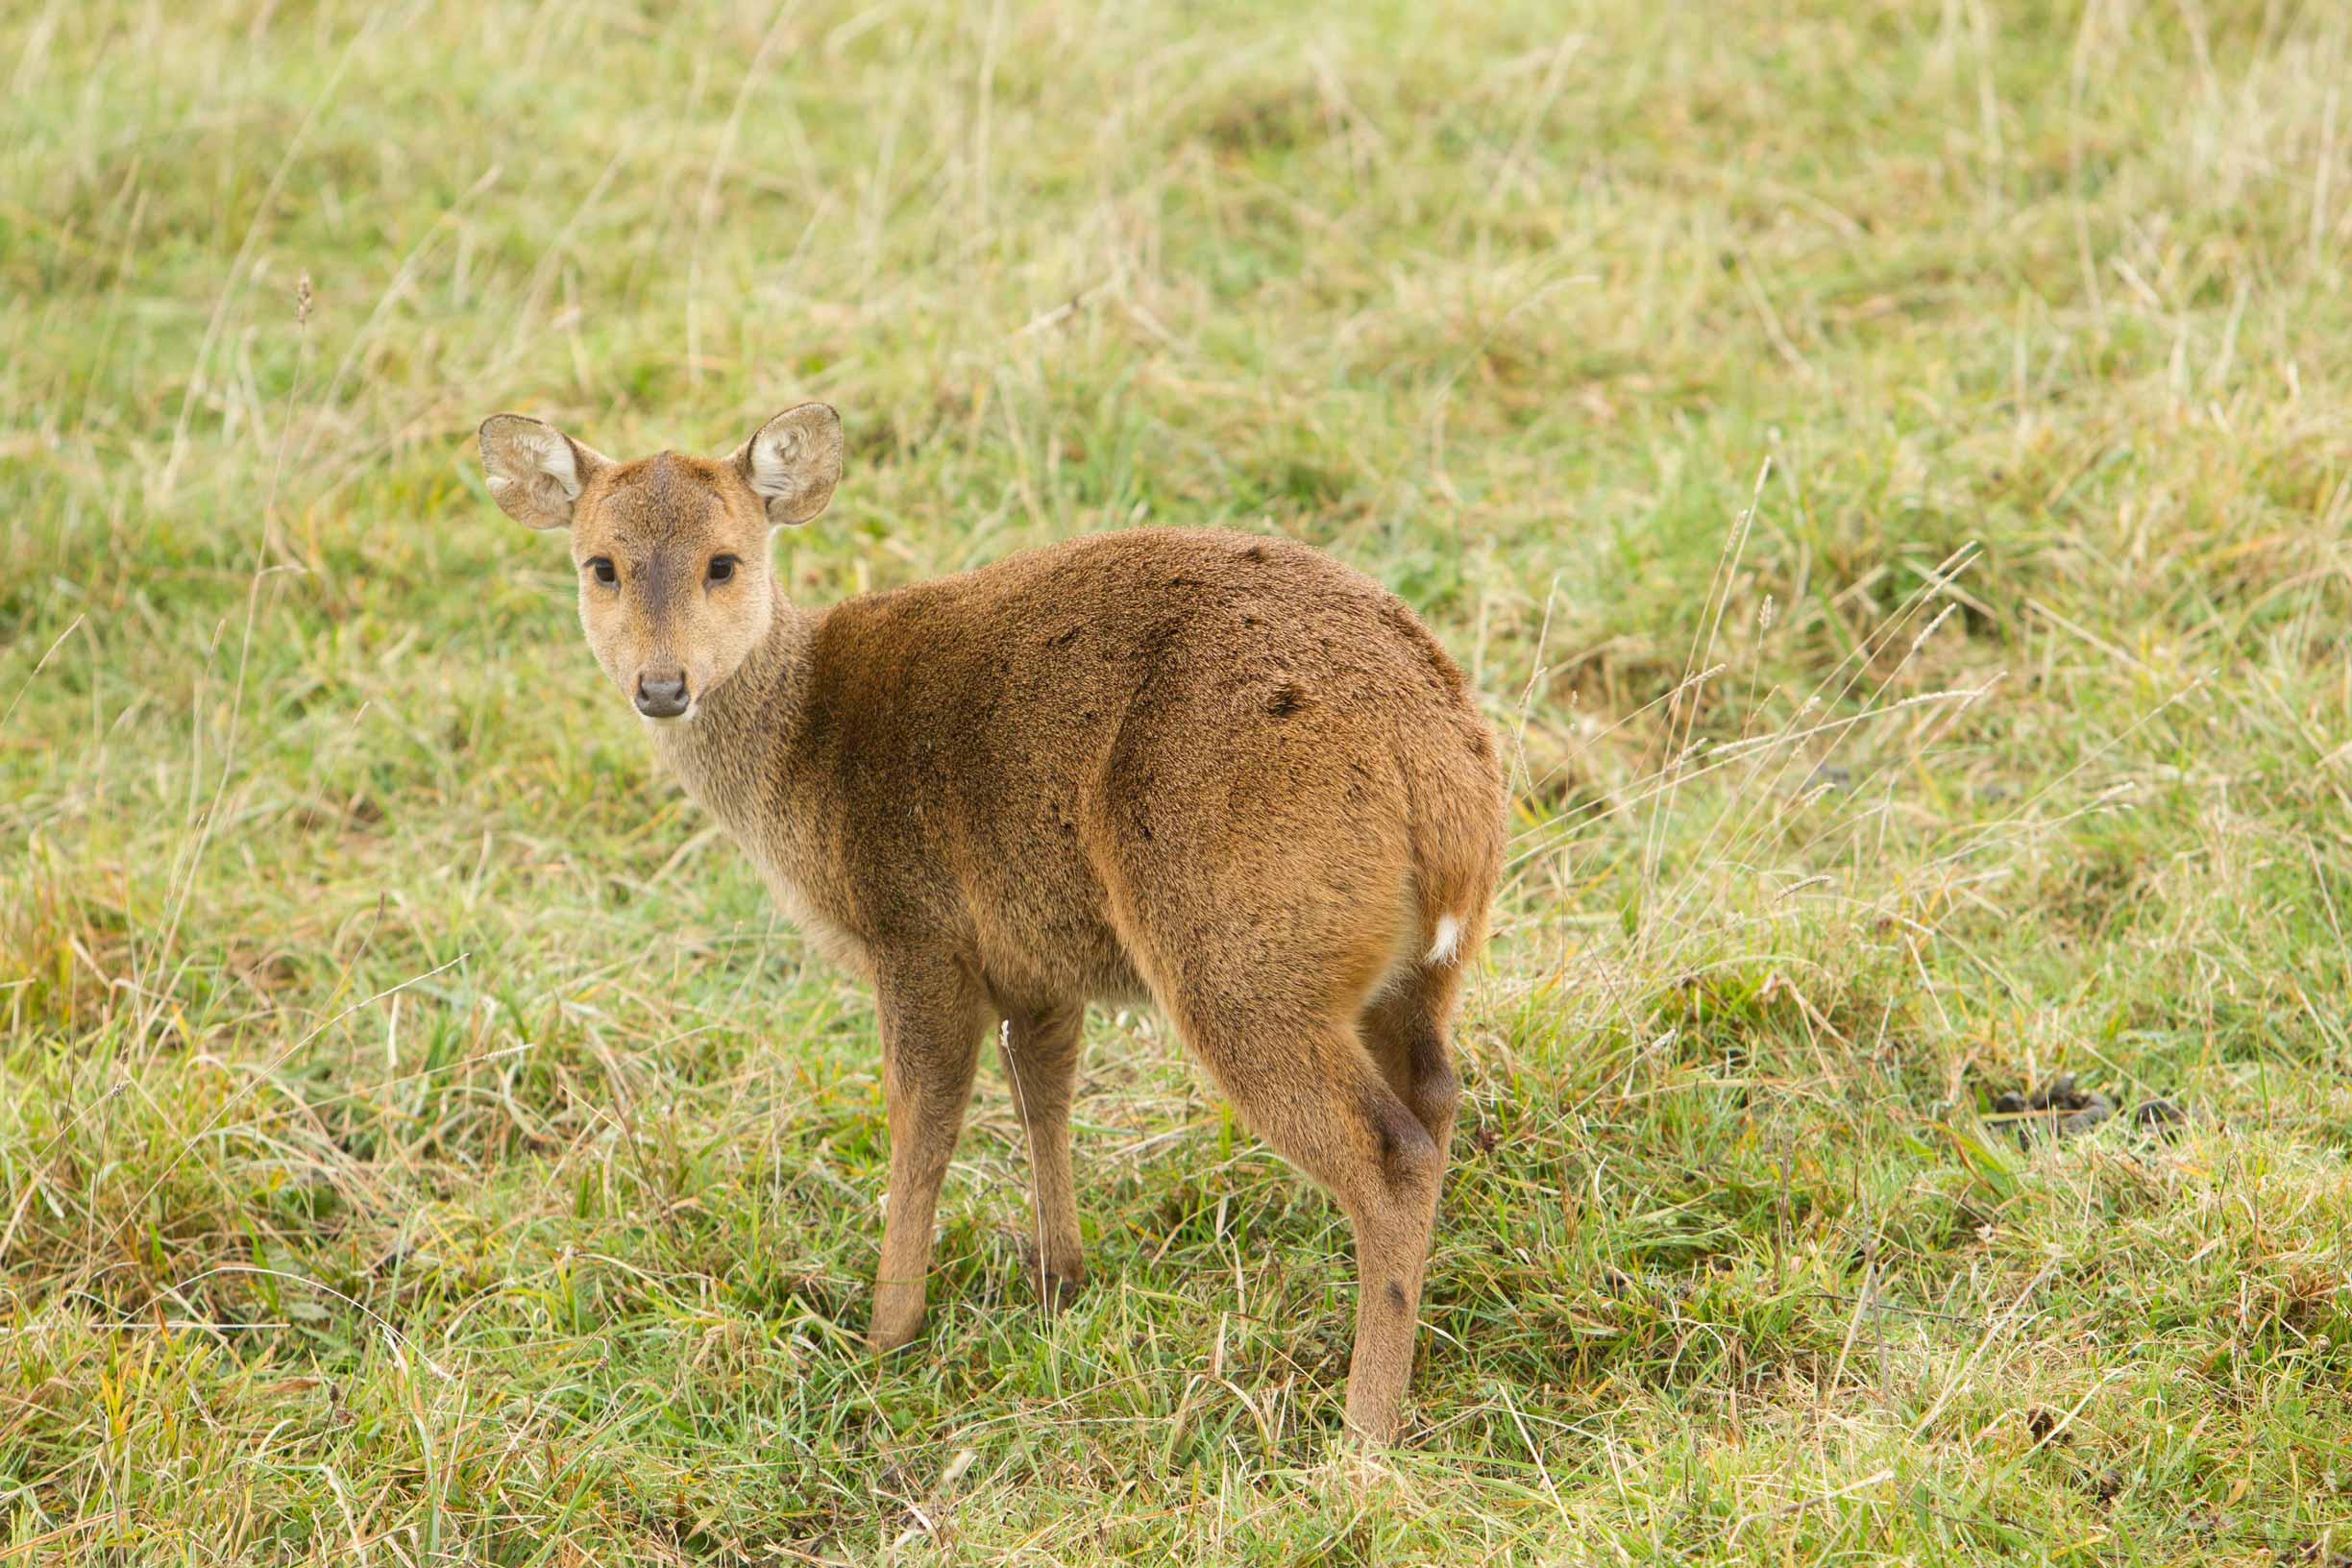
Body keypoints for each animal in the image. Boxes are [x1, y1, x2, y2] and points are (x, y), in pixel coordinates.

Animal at [476, 403, 1506, 1444]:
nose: (662, 685)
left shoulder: (916, 929)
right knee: (1438, 1095)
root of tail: (1438, 775)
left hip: (1239, 951)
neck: (800, 752)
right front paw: (1060, 1282)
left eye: (723, 561)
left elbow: (922, 1119)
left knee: (1391, 1153)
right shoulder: (1035, 954)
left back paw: (1363, 1430)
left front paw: (884, 1335)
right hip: (1413, 972)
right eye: (601, 565)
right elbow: (1042, 1092)